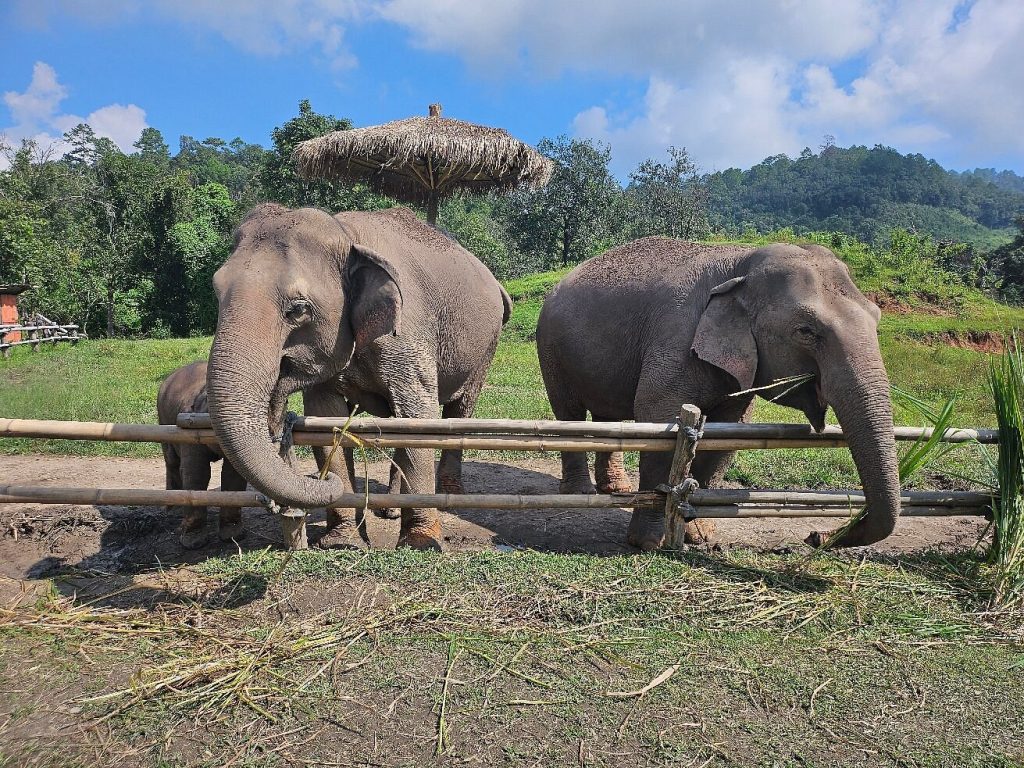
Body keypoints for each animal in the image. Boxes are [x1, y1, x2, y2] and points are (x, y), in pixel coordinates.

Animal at [158, 360, 246, 548]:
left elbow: (232, 474)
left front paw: (233, 535)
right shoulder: (190, 428)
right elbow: (196, 472)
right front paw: (193, 542)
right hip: (163, 418)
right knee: (171, 460)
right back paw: (173, 509)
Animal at [206, 203, 511, 550]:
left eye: (298, 309)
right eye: (216, 292)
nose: (319, 478)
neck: (345, 234)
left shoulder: (408, 335)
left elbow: (420, 416)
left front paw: (421, 541)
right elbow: (327, 420)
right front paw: (341, 540)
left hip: (486, 346)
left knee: (459, 409)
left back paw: (448, 494)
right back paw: (391, 510)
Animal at [536, 238, 898, 551]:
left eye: (877, 319)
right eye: (806, 331)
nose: (814, 537)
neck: (741, 262)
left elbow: (729, 434)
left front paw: (701, 536)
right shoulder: (676, 340)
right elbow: (658, 418)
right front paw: (649, 543)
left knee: (608, 417)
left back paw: (617, 489)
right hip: (551, 348)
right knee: (568, 411)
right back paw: (579, 492)